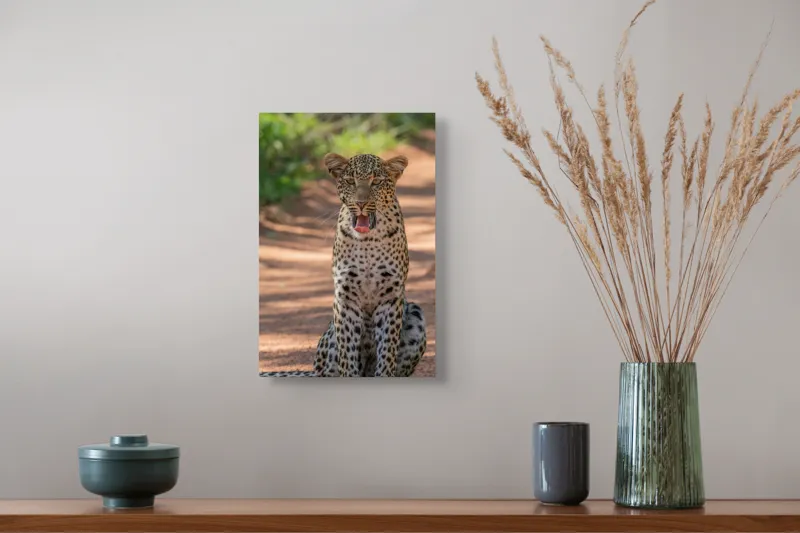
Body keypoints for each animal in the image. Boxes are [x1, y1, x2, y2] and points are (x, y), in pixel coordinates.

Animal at [261, 153, 427, 377]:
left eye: (376, 181)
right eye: (350, 181)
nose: (361, 203)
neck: (368, 242)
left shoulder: (391, 297)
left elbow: (387, 350)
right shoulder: (345, 297)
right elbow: (348, 351)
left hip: (415, 314)